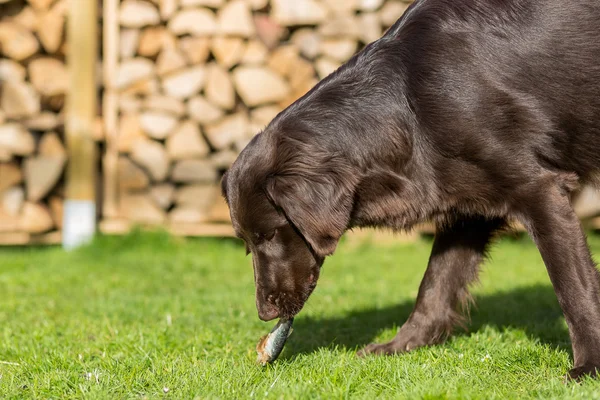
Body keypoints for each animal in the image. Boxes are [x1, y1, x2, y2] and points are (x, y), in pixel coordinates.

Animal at [221, 0, 600, 378]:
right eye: (247, 244)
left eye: (270, 235)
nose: (264, 314)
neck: (410, 110)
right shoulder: (468, 210)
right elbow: (435, 283)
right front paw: (402, 345)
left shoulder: (539, 190)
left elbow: (573, 287)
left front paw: (589, 365)